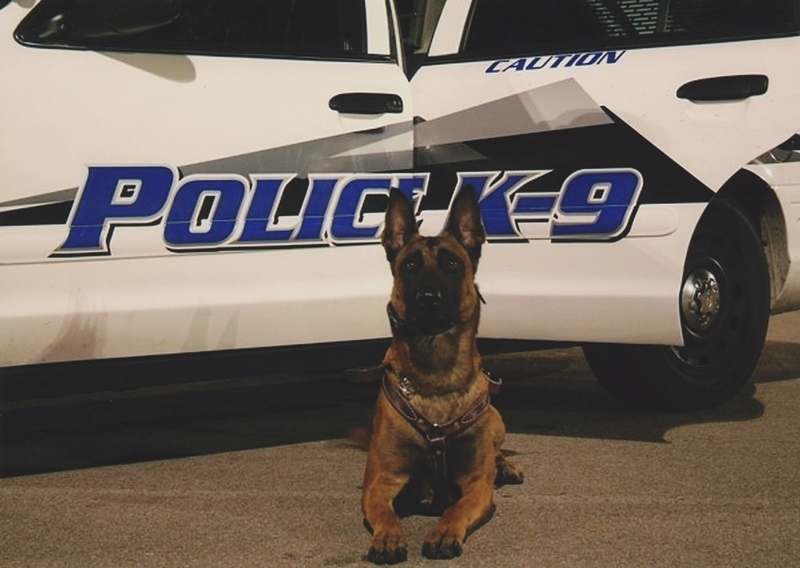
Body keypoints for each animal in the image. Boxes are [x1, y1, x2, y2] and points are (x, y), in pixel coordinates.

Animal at [362, 187, 524, 564]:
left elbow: (456, 508)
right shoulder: (380, 483)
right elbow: (386, 513)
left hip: (496, 421)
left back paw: (506, 466)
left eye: (452, 264)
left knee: (497, 451)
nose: (428, 298)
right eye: (410, 265)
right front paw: (388, 536)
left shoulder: (477, 485)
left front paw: (445, 532)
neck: (436, 381)